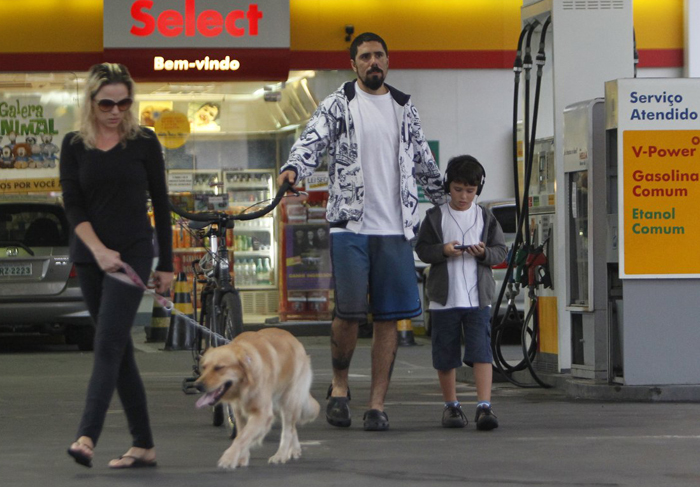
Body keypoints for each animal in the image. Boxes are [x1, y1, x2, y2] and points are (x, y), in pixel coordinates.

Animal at [194, 328, 320, 468]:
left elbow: (242, 437)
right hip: (276, 406)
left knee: (288, 430)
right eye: (204, 367)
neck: (244, 385)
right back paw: (295, 449)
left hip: (288, 401)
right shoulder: (239, 412)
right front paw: (241, 458)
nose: (197, 385)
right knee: (292, 428)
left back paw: (281, 455)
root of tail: (296, 341)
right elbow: (242, 434)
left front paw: (229, 458)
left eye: (219, 368)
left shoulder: (262, 413)